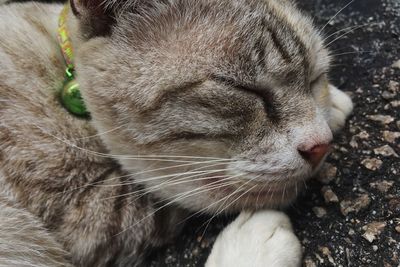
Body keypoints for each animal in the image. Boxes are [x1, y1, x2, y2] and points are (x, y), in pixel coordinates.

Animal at [0, 0, 354, 266]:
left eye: (315, 78)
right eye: (244, 90)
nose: (321, 146)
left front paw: (332, 103)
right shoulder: (87, 214)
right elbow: (170, 201)